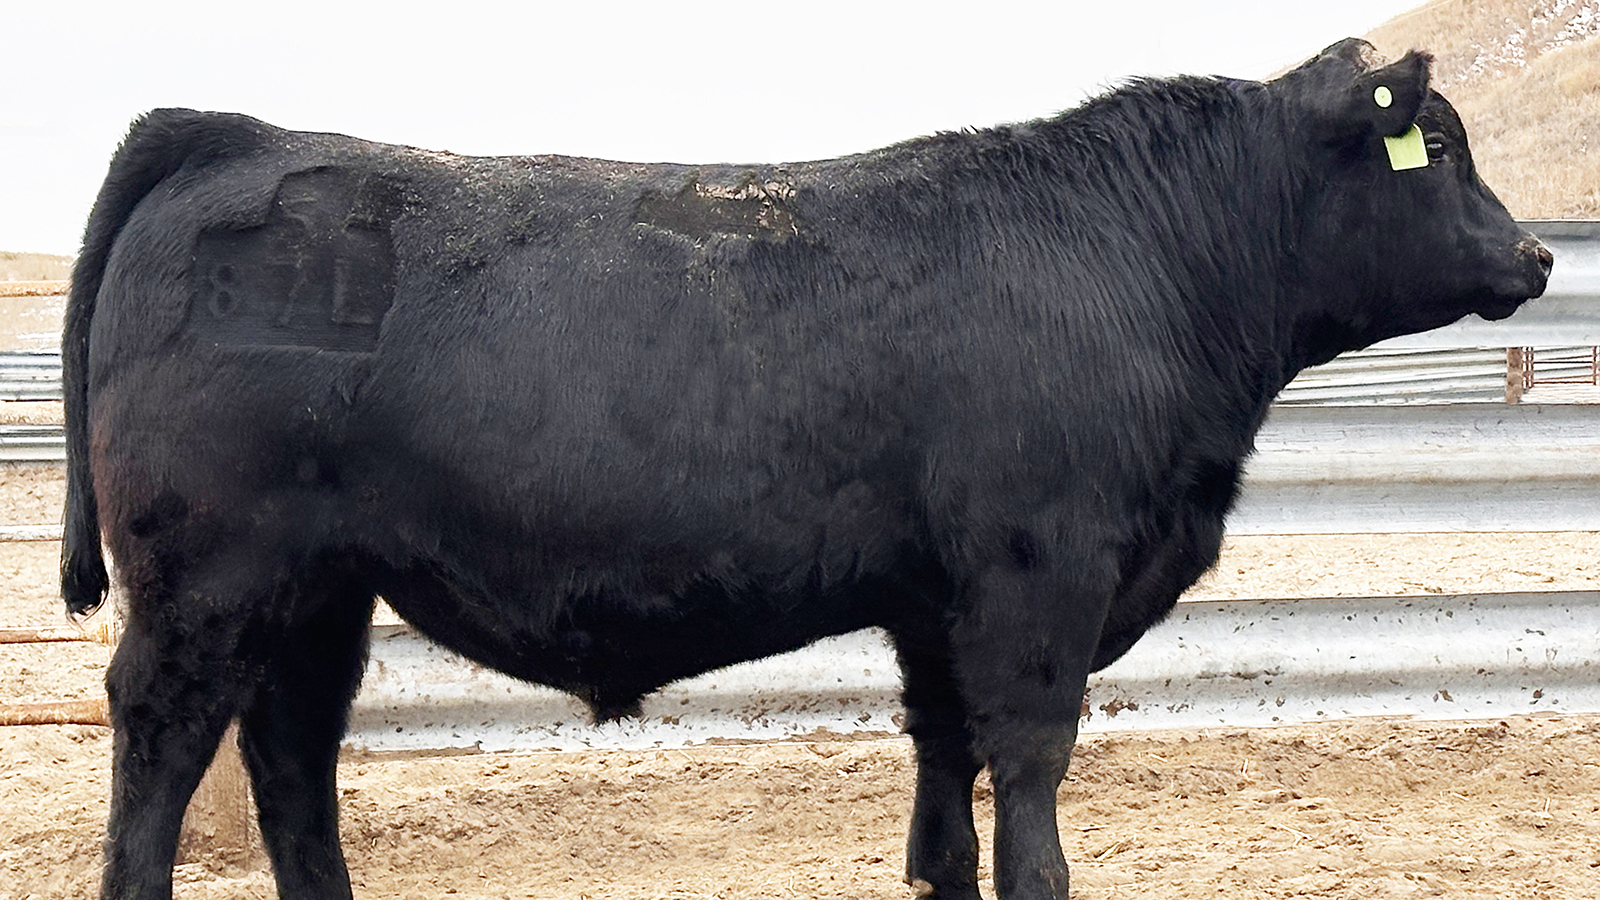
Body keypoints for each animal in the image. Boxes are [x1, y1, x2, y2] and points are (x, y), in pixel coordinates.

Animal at [62, 38, 1549, 900]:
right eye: (1441, 147)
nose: (1537, 255)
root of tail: (238, 134)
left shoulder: (939, 602)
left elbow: (947, 777)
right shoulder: (1040, 576)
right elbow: (1031, 765)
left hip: (319, 588)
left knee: (291, 752)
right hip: (209, 579)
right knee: (164, 739)